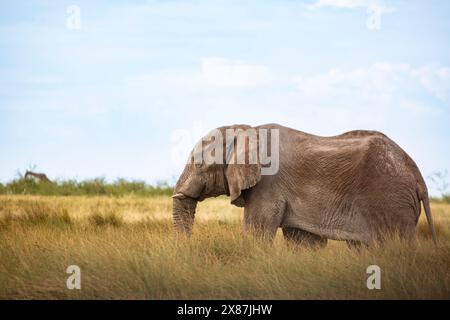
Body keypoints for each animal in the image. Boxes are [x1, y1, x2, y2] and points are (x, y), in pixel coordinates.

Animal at [171, 124, 436, 246]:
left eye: (199, 164)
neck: (248, 131)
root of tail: (416, 174)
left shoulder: (267, 185)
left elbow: (256, 235)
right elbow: (305, 243)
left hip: (390, 202)